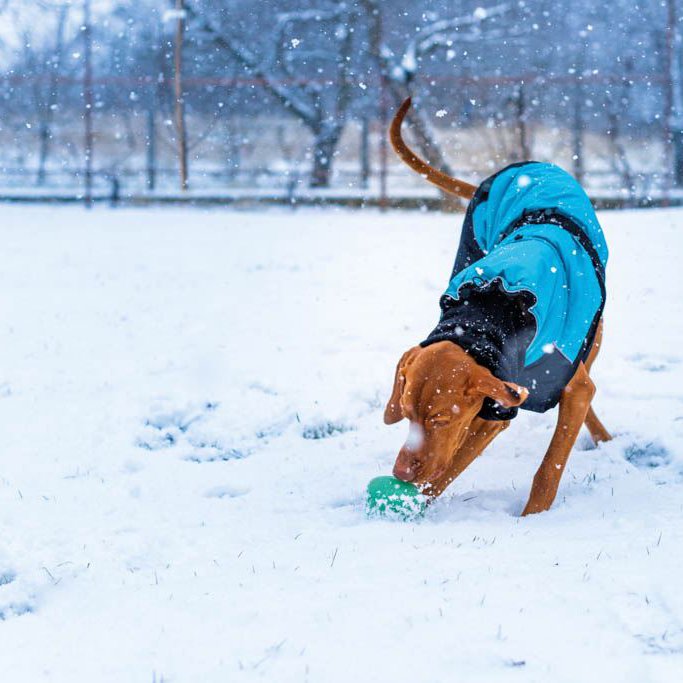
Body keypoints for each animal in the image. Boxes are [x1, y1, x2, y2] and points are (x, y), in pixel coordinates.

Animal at [384, 99, 616, 516]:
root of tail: (523, 166)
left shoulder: (553, 389)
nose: (401, 472)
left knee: (586, 373)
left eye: (439, 419)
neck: (488, 315)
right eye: (406, 413)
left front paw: (532, 519)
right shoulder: (494, 404)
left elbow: (549, 467)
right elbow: (452, 464)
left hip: (593, 329)